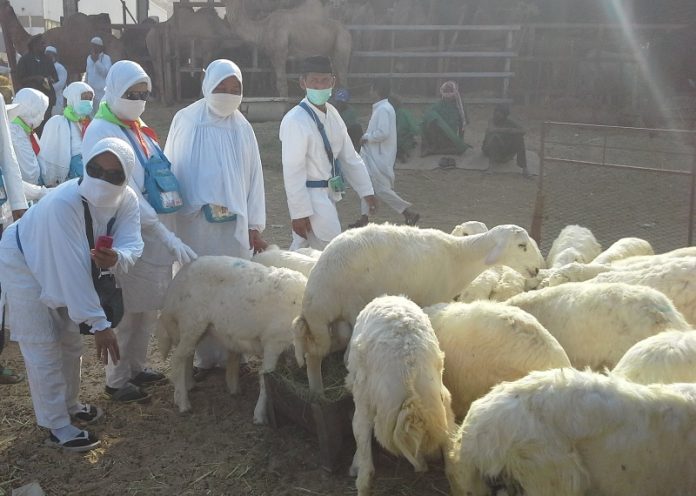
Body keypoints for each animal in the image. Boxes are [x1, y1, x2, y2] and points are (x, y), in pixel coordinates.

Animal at [156, 256, 308, 423]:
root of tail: (177, 279)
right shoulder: (273, 342)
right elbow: (265, 377)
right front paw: (259, 416)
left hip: (198, 328)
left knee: (187, 355)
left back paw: (189, 384)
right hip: (191, 321)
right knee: (178, 359)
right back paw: (182, 402)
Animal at [224, 0, 352, 97]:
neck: (263, 29)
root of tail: (347, 31)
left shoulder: (280, 53)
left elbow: (282, 84)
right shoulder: (272, 56)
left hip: (342, 45)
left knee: (343, 76)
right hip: (331, 53)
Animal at [293, 223, 545, 393]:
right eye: (522, 245)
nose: (538, 269)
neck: (458, 257)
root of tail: (312, 295)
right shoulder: (432, 298)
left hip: (337, 320)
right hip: (344, 308)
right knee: (315, 354)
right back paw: (318, 391)